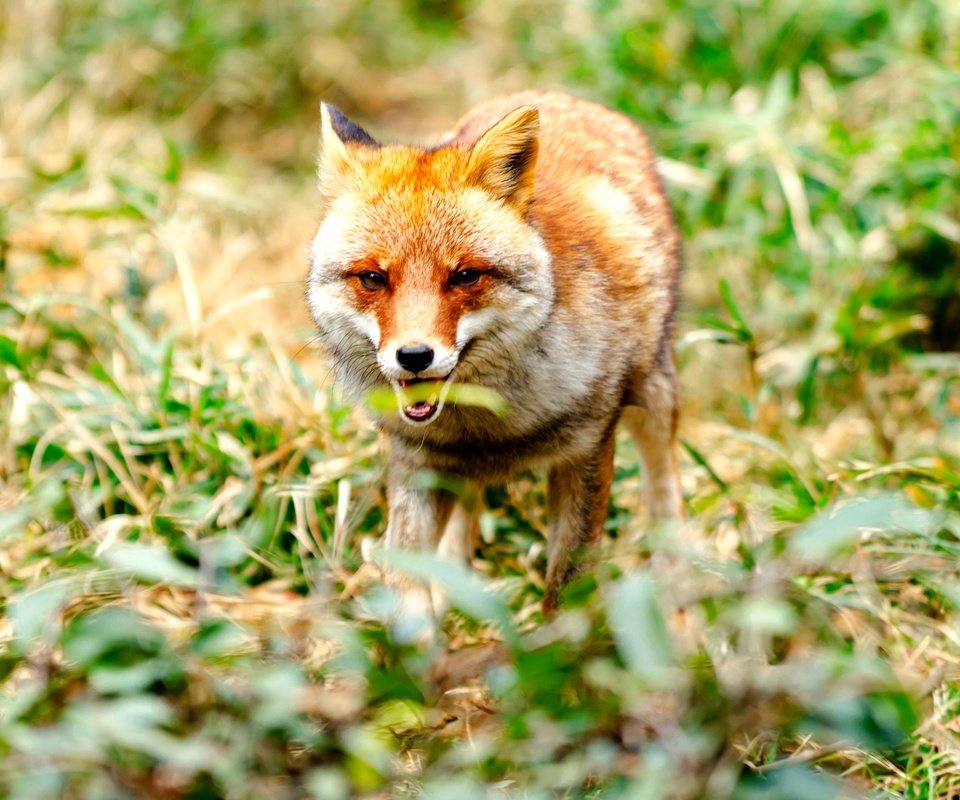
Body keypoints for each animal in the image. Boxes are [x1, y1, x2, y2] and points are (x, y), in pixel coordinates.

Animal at [308, 90, 684, 628]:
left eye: (465, 276)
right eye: (373, 279)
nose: (414, 356)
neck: (485, 429)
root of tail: (557, 93)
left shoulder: (588, 448)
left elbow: (566, 589)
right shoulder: (416, 460)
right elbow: (405, 583)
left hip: (655, 394)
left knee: (664, 490)